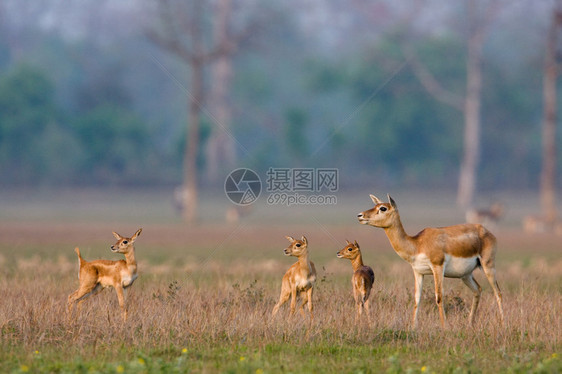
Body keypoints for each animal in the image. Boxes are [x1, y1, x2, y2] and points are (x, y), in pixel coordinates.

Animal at [356, 194, 506, 328]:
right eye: (375, 205)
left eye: (383, 208)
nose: (360, 215)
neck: (417, 244)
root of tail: (486, 231)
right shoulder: (418, 272)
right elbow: (417, 299)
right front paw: (413, 327)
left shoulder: (437, 267)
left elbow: (439, 297)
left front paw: (444, 327)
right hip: (465, 275)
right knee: (478, 290)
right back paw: (470, 324)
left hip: (488, 266)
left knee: (498, 292)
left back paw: (503, 324)